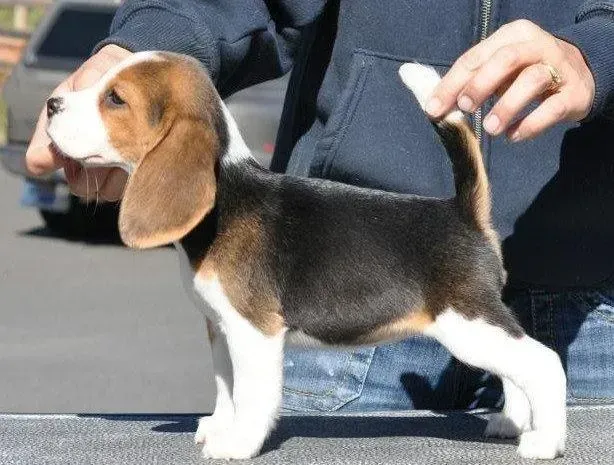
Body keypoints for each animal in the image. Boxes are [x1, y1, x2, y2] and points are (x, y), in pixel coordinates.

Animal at [45, 52, 572, 458]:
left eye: (115, 99)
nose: (52, 103)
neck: (224, 198)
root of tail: (463, 212)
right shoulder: (219, 328)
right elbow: (226, 386)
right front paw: (219, 426)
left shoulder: (254, 332)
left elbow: (252, 396)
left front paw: (237, 444)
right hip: (479, 326)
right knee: (517, 368)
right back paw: (511, 423)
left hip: (467, 322)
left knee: (543, 363)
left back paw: (543, 441)